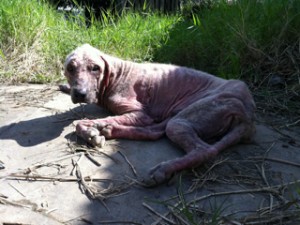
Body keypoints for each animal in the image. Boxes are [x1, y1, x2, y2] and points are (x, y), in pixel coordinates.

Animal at [60, 44, 255, 186]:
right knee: (154, 132)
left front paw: (90, 130)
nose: (80, 93)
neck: (115, 75)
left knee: (204, 150)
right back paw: (110, 130)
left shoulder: (140, 113)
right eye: (70, 68)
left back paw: (163, 170)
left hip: (189, 115)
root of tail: (249, 117)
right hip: (178, 114)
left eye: (95, 68)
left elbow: (79, 123)